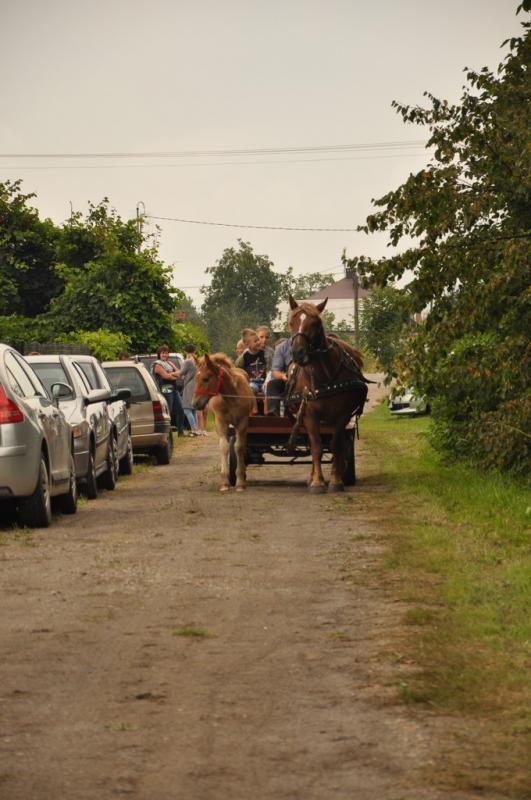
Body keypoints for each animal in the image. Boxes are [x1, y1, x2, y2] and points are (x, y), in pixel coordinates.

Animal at [192, 353, 254, 492]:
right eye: (195, 379)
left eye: (205, 379)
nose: (195, 404)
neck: (232, 397)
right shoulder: (220, 422)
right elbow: (224, 447)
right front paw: (225, 482)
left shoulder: (242, 423)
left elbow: (239, 447)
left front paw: (240, 481)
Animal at [286, 295, 369, 493]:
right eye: (292, 322)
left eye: (315, 323)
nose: (297, 352)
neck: (324, 376)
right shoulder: (309, 415)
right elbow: (316, 446)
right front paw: (317, 482)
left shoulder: (342, 415)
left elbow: (335, 446)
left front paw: (336, 481)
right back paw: (313, 478)